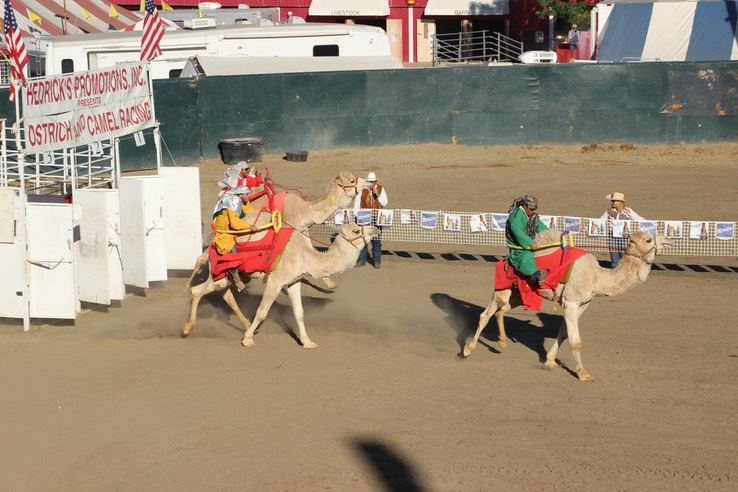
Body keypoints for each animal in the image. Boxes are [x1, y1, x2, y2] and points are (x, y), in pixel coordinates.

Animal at [182, 221, 376, 348]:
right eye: (356, 230)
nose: (374, 229)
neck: (305, 256)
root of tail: (212, 245)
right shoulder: (275, 282)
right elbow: (262, 312)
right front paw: (247, 340)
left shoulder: (293, 282)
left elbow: (299, 313)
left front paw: (307, 342)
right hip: (219, 274)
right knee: (197, 290)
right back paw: (186, 328)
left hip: (237, 276)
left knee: (226, 294)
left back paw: (245, 324)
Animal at [462, 229, 668, 382]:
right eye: (648, 239)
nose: (667, 240)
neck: (596, 276)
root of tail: (505, 259)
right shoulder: (571, 302)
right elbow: (575, 341)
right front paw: (583, 374)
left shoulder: (582, 303)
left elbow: (562, 333)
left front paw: (550, 362)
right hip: (503, 288)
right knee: (487, 313)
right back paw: (468, 349)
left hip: (519, 294)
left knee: (501, 311)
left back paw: (503, 342)